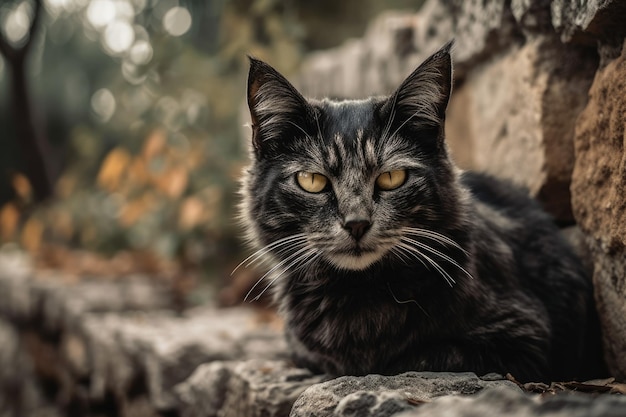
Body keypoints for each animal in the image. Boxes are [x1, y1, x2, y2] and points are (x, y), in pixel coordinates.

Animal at [236, 41, 604, 380]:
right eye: (312, 181)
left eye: (392, 178)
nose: (356, 223)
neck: (358, 292)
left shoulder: (527, 339)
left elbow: (418, 357)